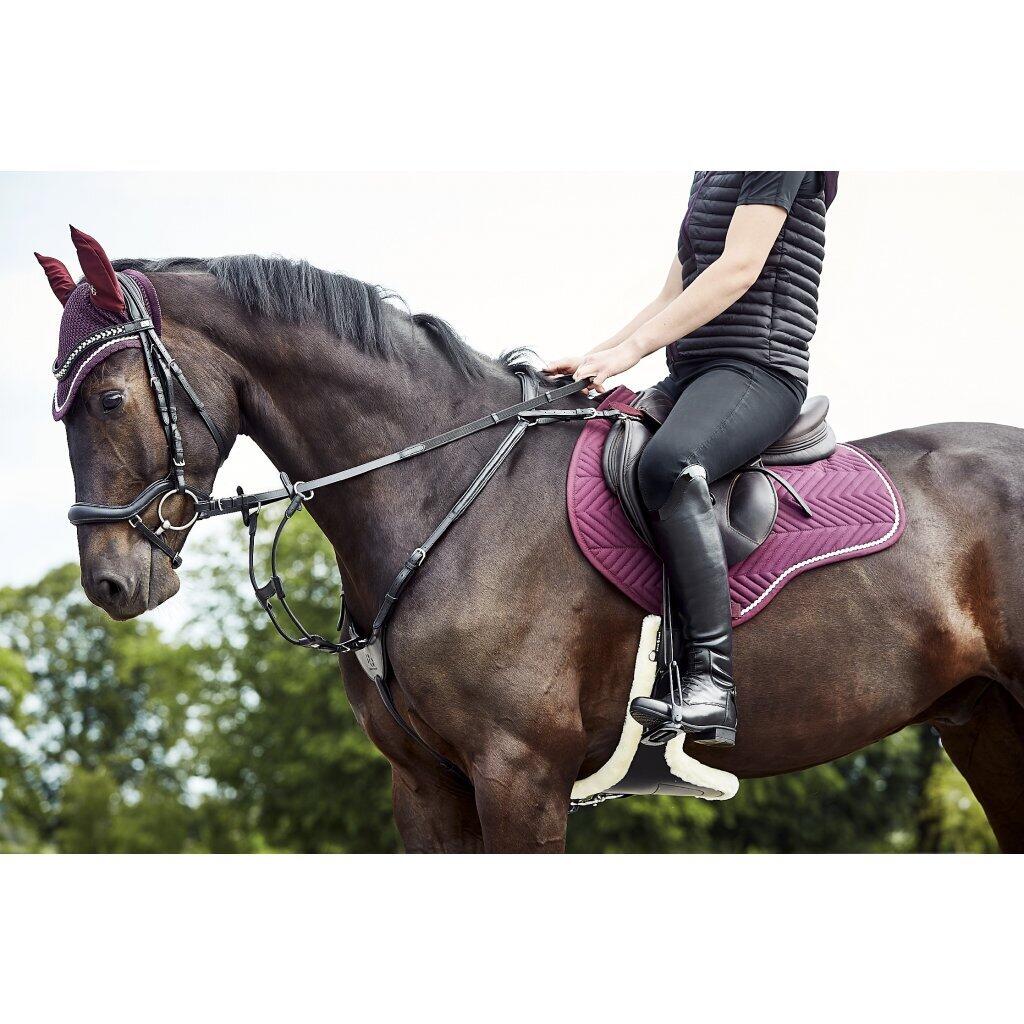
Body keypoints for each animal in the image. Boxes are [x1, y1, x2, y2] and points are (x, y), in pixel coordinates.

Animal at [46, 245, 1024, 853]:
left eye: (108, 400)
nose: (110, 583)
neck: (443, 483)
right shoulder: (426, 785)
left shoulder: (520, 772)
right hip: (986, 726)